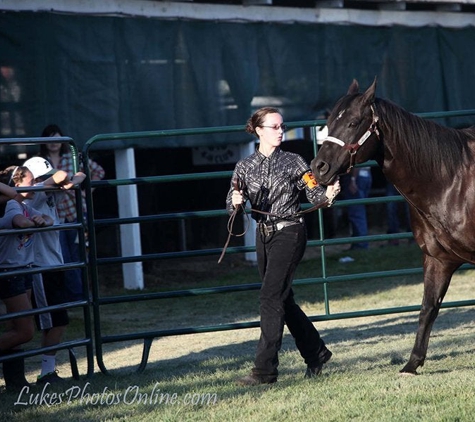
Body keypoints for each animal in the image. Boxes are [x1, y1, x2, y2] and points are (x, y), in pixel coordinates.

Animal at [312, 77, 475, 374]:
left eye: (353, 122)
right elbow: (428, 308)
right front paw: (412, 364)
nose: (319, 167)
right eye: (328, 122)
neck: (451, 180)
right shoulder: (437, 259)